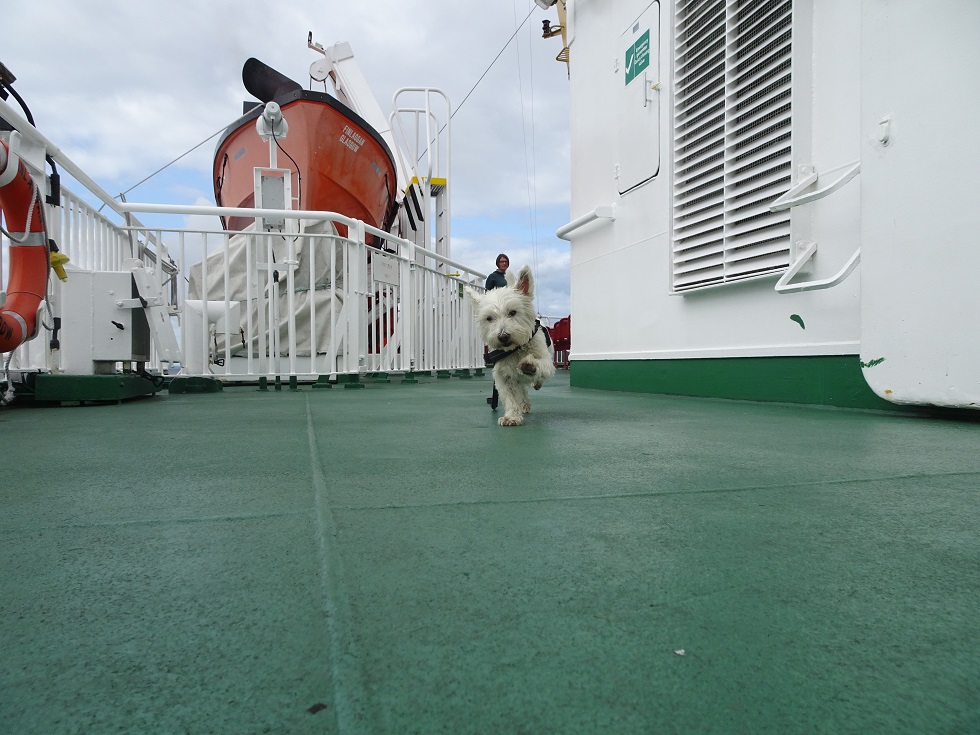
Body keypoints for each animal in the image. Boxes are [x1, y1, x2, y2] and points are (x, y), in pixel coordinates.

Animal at [466, 264, 552, 426]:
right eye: (489, 318)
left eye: (513, 312)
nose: (503, 336)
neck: (514, 349)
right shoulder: (503, 375)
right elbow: (510, 397)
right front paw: (512, 417)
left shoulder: (546, 360)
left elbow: (541, 365)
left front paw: (530, 365)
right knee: (522, 391)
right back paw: (524, 404)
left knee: (538, 379)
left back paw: (535, 382)